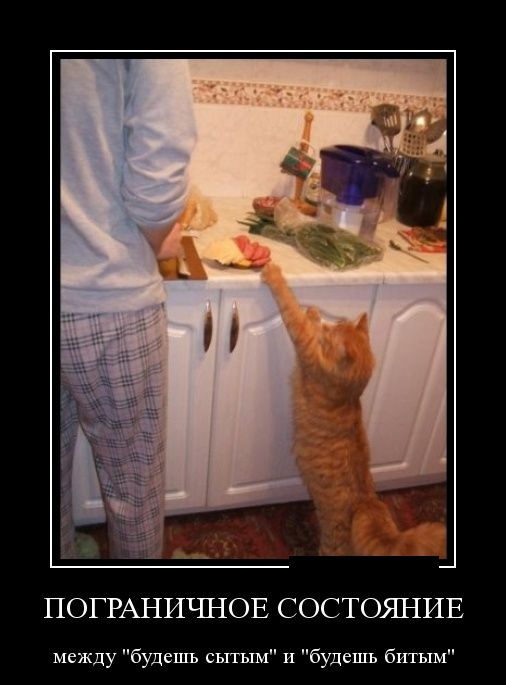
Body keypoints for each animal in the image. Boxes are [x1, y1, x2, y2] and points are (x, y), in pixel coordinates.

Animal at [261, 262, 446, 557]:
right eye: (338, 324)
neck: (349, 392)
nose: (329, 324)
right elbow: (302, 317)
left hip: (330, 545)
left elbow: (291, 309)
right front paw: (315, 313)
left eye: (331, 334)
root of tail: (367, 505)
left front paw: (274, 273)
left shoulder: (306, 349)